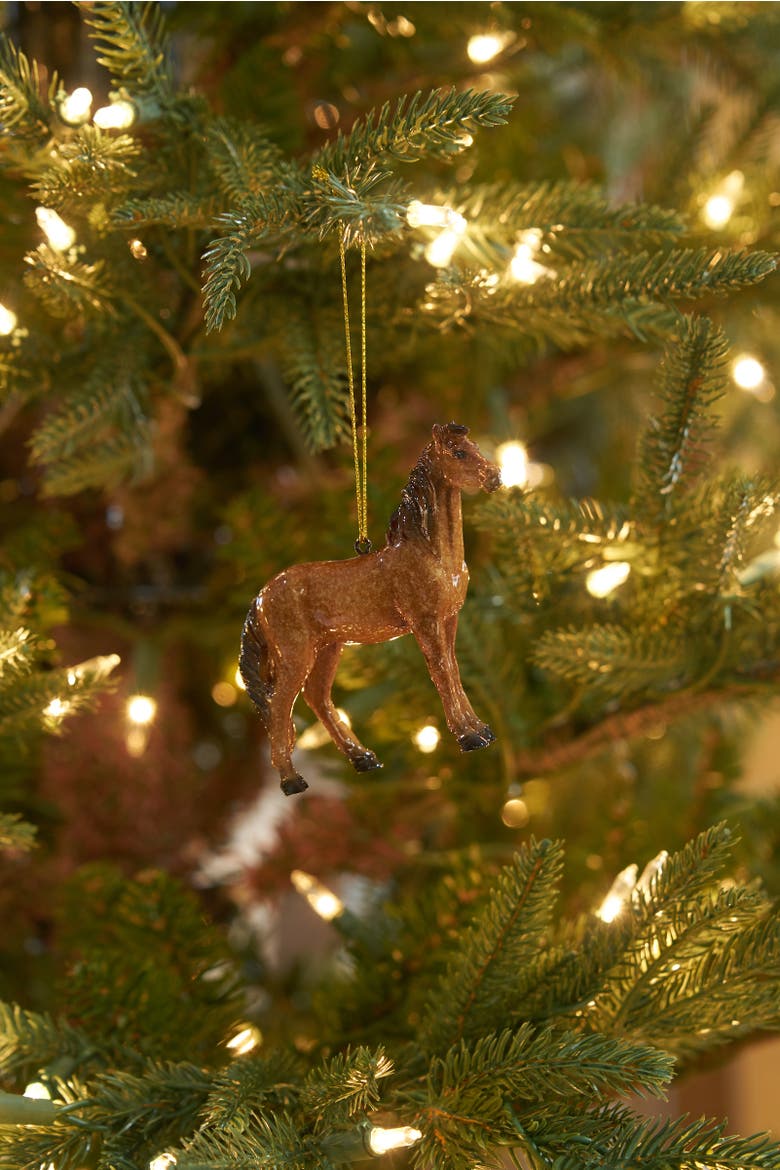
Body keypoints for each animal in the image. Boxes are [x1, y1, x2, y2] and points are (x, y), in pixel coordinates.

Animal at [239, 422, 502, 794]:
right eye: (460, 452)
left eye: (475, 445)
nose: (494, 477)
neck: (431, 555)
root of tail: (261, 598)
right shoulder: (426, 623)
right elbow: (441, 673)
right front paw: (469, 737)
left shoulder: (449, 620)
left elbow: (453, 670)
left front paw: (480, 730)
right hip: (296, 655)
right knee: (278, 707)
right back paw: (292, 781)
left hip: (328, 649)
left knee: (317, 699)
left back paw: (363, 759)